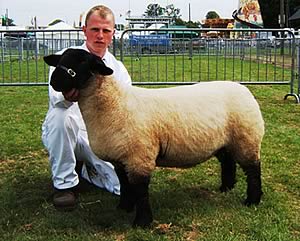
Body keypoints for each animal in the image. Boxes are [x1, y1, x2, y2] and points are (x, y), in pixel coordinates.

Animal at [43, 49, 264, 228]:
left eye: (82, 61)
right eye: (61, 59)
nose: (54, 81)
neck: (115, 103)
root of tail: (244, 89)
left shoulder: (139, 157)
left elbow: (141, 191)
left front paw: (142, 222)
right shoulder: (121, 159)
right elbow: (125, 185)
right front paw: (124, 207)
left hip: (247, 138)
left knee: (253, 170)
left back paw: (252, 200)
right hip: (224, 141)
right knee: (228, 161)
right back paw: (226, 187)